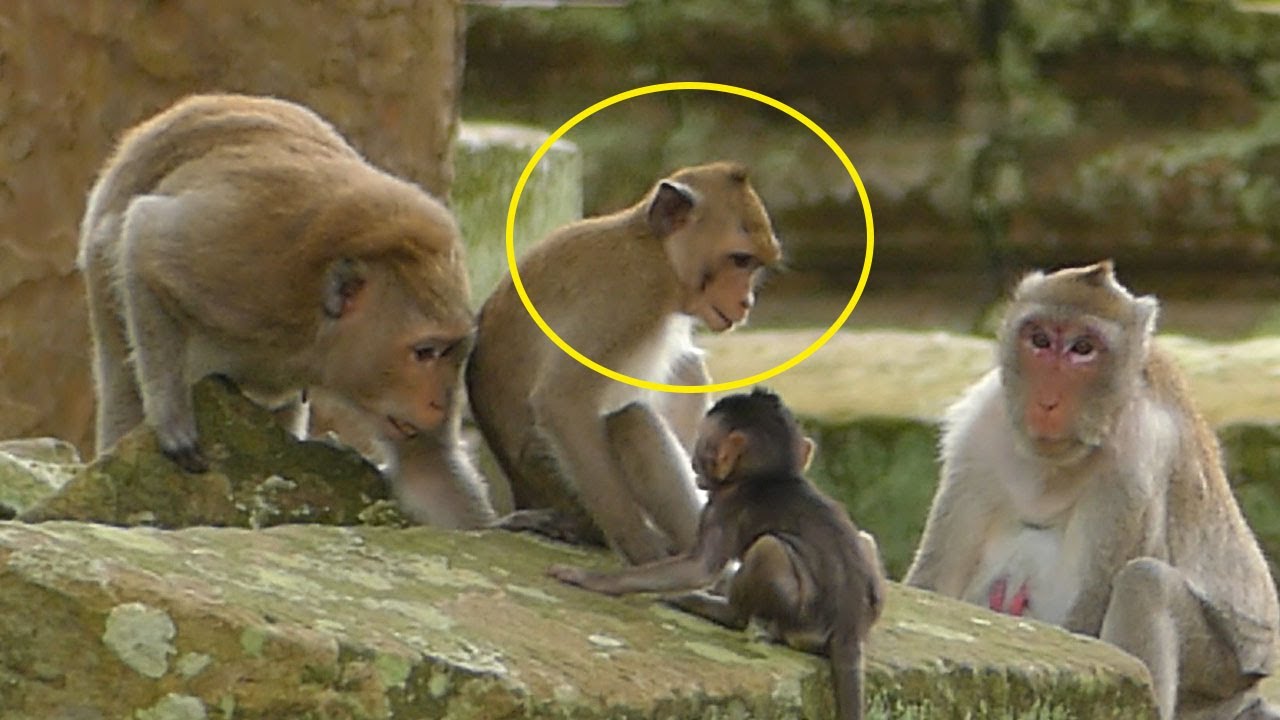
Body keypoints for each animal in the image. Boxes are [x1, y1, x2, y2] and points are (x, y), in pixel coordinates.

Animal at [77, 93, 495, 529]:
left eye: (452, 353)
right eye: (424, 352)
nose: (439, 404)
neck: (316, 332)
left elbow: (427, 466)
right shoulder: (250, 263)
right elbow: (145, 235)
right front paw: (170, 418)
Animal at [466, 161, 781, 564]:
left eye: (755, 265)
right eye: (741, 259)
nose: (746, 303)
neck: (656, 253)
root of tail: (525, 494)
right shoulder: (626, 296)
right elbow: (563, 401)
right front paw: (641, 545)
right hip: (562, 486)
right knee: (632, 423)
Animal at [549, 389, 886, 720]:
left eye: (701, 443)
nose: (695, 463)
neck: (771, 475)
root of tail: (851, 627)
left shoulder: (722, 508)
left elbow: (700, 567)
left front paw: (595, 579)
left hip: (802, 616)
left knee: (768, 548)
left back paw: (723, 611)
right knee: (864, 539)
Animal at [903, 261, 1280, 720]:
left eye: (1083, 348)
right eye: (1040, 340)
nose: (1047, 402)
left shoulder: (1135, 457)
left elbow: (1090, 621)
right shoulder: (981, 427)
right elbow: (935, 583)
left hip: (1220, 673)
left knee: (1143, 583)